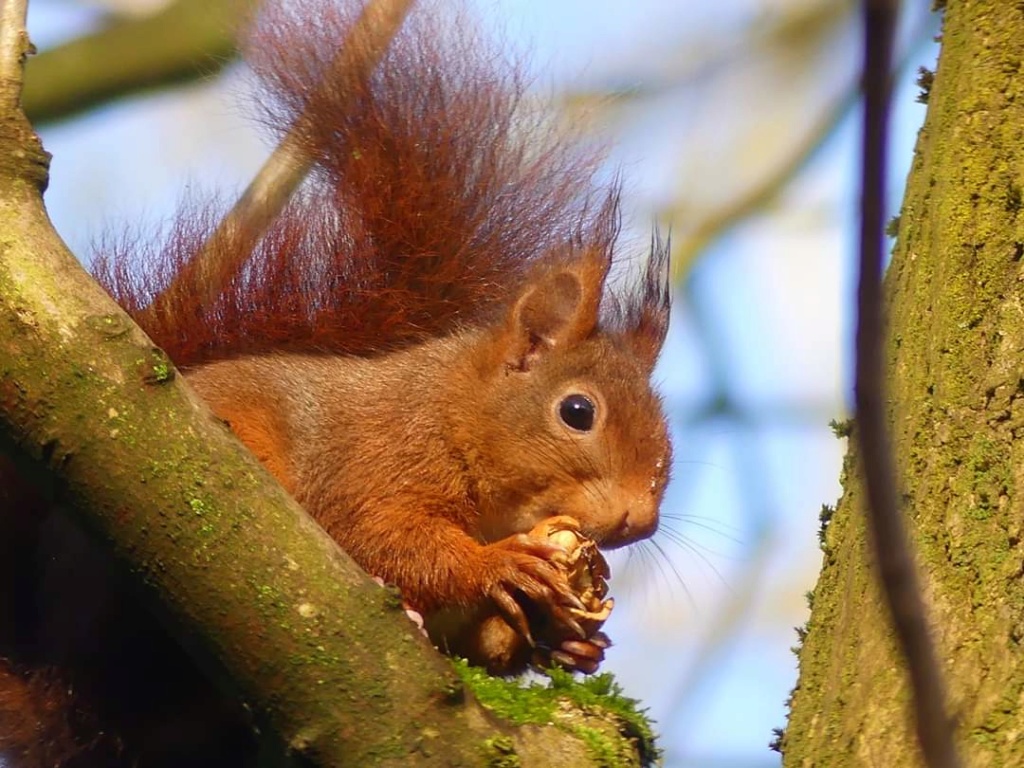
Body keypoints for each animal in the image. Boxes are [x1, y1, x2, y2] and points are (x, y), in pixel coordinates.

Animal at [0, 0, 671, 765]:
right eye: (578, 411)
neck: (452, 413)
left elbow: (481, 643)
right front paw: (498, 565)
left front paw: (567, 639)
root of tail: (53, 682)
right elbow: (386, 535)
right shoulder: (377, 457)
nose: (639, 520)